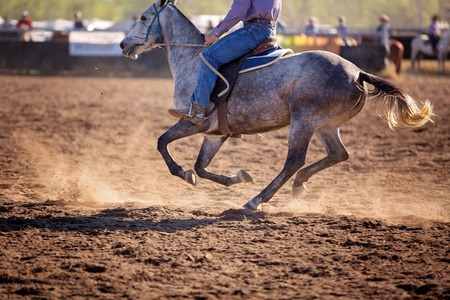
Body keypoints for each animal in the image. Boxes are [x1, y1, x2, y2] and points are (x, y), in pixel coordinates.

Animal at [118, 0, 432, 211]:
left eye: (144, 17)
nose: (122, 45)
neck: (193, 61)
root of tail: (357, 72)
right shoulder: (216, 133)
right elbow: (202, 166)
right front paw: (239, 176)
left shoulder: (193, 122)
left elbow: (162, 143)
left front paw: (184, 174)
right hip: (326, 125)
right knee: (338, 154)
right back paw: (298, 185)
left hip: (304, 122)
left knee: (294, 161)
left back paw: (256, 200)